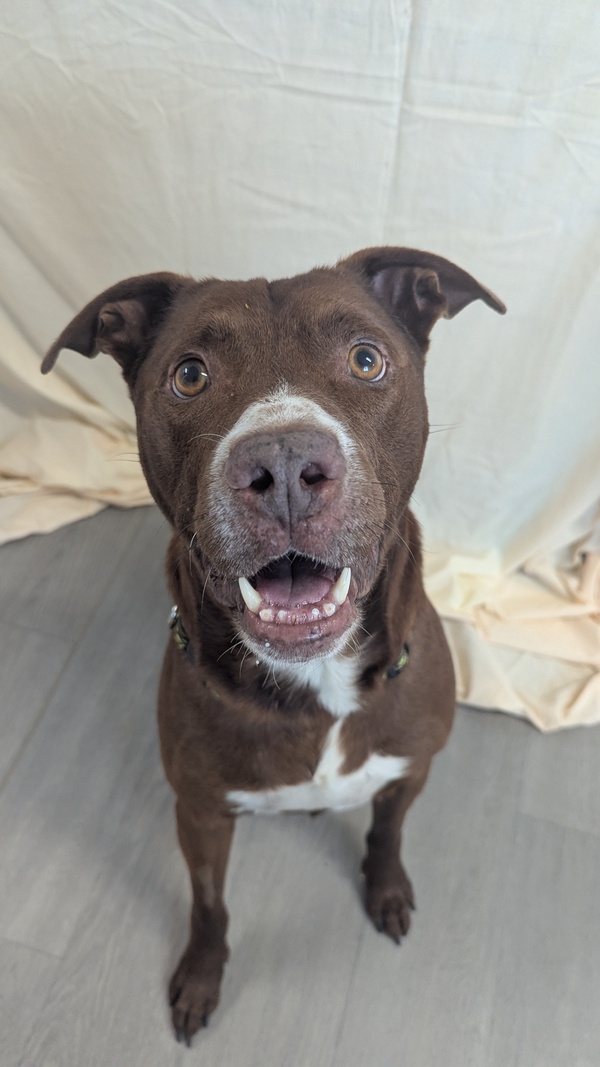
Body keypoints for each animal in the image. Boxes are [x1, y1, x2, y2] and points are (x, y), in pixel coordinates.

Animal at [43, 246, 505, 1044]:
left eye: (366, 359)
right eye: (189, 375)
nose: (285, 465)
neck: (316, 681)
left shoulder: (412, 767)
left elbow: (388, 833)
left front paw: (386, 890)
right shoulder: (199, 810)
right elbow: (208, 903)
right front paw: (202, 975)